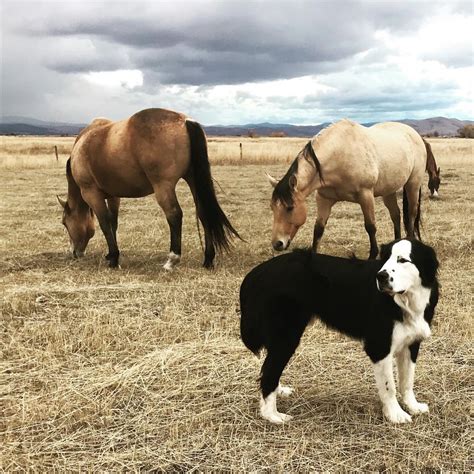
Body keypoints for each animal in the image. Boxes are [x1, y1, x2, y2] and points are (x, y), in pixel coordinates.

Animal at [58, 109, 241, 268]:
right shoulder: (113, 196)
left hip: (163, 187)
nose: (74, 253)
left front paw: (114, 259)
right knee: (203, 213)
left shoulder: (92, 194)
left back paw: (172, 260)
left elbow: (104, 224)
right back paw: (208, 259)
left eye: (64, 223)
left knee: (174, 215)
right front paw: (112, 255)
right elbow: (113, 223)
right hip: (193, 181)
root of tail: (185, 121)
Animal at [241, 239, 440, 424]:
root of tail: (258, 271)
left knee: (269, 369)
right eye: (385, 259)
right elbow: (388, 385)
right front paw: (395, 414)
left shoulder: (411, 344)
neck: (403, 301)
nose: (381, 276)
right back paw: (272, 415)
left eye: (403, 260)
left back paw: (279, 391)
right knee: (269, 373)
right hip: (287, 337)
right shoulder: (379, 347)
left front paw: (413, 406)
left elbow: (407, 381)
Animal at [266, 118, 430, 260]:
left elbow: (370, 227)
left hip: (412, 185)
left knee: (411, 215)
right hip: (389, 191)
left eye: (290, 208)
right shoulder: (324, 199)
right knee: (396, 215)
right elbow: (318, 229)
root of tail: (416, 136)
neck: (339, 154)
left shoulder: (366, 195)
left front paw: (372, 256)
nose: (277, 243)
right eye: (272, 208)